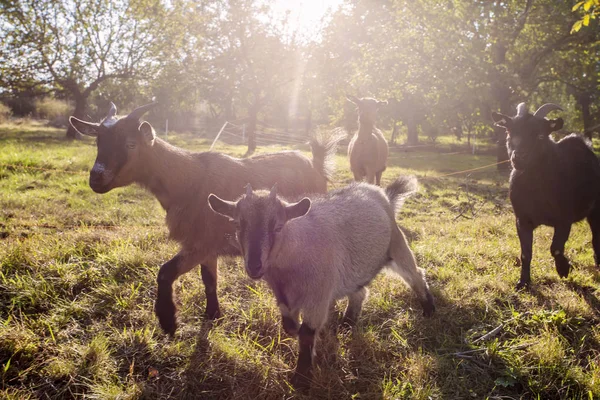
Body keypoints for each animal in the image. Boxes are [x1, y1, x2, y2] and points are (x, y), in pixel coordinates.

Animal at [68, 102, 340, 334]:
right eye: (98, 141)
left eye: (131, 144)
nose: (96, 178)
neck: (188, 181)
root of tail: (316, 165)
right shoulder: (208, 246)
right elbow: (209, 280)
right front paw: (213, 315)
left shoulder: (199, 243)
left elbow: (165, 272)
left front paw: (168, 321)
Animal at [209, 177, 434, 390]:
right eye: (237, 224)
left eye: (278, 226)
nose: (254, 266)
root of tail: (381, 193)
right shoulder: (283, 295)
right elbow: (289, 326)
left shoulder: (318, 296)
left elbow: (307, 333)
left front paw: (301, 380)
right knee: (359, 292)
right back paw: (348, 322)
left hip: (397, 245)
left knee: (416, 275)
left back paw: (429, 308)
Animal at [492, 102, 600, 288]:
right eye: (509, 132)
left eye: (540, 136)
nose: (519, 158)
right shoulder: (522, 220)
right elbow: (526, 253)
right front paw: (523, 282)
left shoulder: (564, 219)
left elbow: (555, 248)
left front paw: (564, 269)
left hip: (596, 210)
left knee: (596, 238)